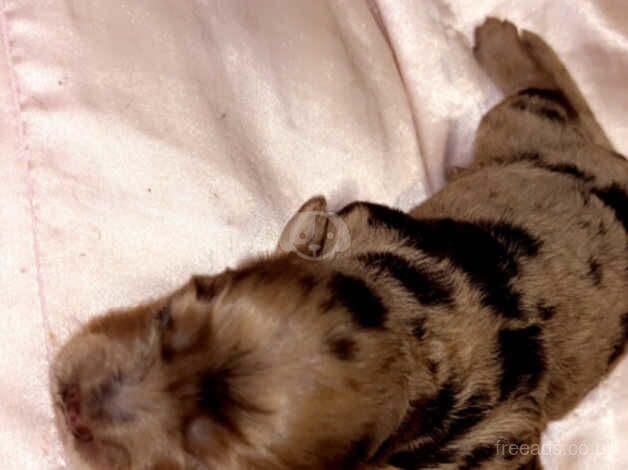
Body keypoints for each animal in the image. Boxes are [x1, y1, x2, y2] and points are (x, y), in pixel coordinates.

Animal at [50, 18, 628, 470]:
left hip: (519, 125)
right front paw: (301, 229)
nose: (70, 405)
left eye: (199, 463)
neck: (410, 316)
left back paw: (502, 38)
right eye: (167, 315)